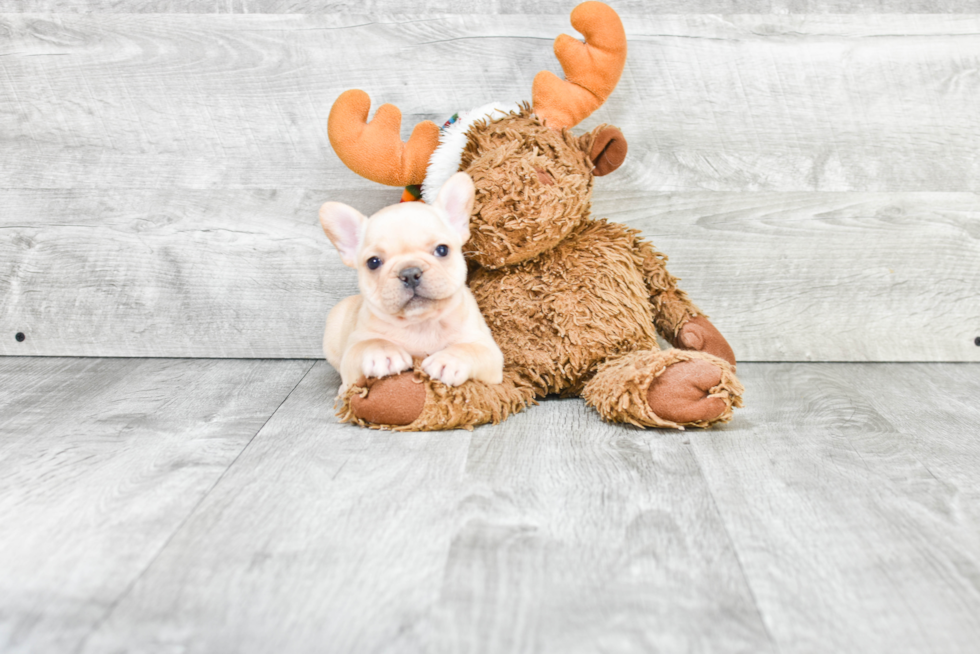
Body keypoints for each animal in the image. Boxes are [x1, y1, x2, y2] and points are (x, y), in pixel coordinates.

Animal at [322, 172, 506, 394]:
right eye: (373, 262)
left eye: (442, 250)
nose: (409, 273)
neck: (421, 323)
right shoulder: (354, 348)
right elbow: (367, 344)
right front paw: (382, 352)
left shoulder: (488, 351)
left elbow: (469, 348)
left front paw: (448, 360)